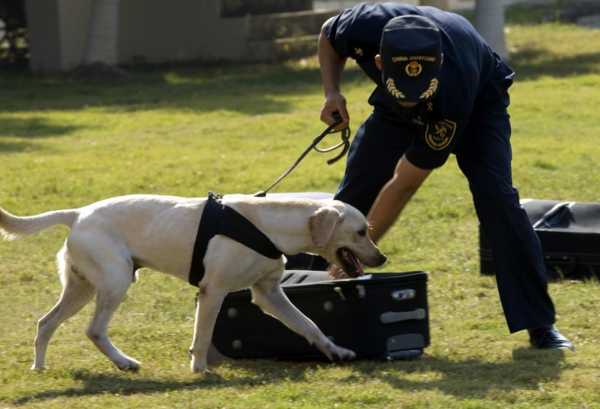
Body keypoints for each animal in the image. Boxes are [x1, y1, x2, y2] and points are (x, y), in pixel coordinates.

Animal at [0, 194, 386, 372]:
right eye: (360, 231)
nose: (382, 258)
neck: (268, 226)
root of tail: (78, 213)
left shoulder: (269, 294)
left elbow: (310, 325)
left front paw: (336, 351)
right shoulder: (213, 291)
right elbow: (202, 336)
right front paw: (199, 369)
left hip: (81, 288)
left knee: (45, 323)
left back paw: (39, 366)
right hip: (115, 282)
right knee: (93, 330)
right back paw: (124, 362)